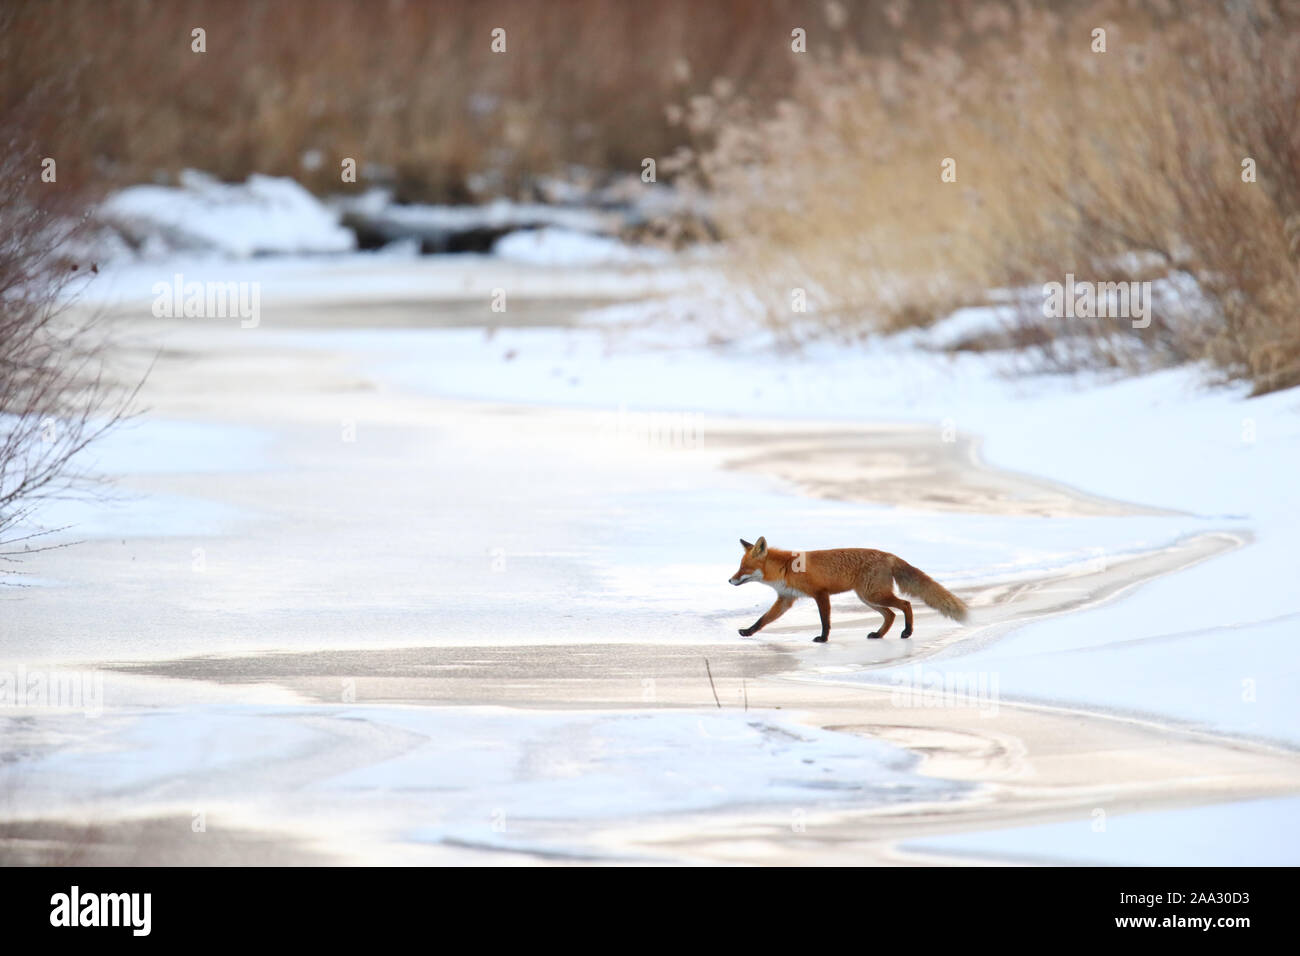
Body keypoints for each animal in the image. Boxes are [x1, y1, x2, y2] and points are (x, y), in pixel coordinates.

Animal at [733, 538, 967, 642]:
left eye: (743, 568)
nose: (730, 580)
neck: (787, 569)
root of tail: (888, 555)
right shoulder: (785, 599)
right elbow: (763, 619)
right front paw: (748, 631)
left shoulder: (820, 593)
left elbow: (825, 621)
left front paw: (823, 639)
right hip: (868, 598)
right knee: (891, 614)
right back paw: (879, 634)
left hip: (873, 595)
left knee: (905, 604)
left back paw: (907, 632)